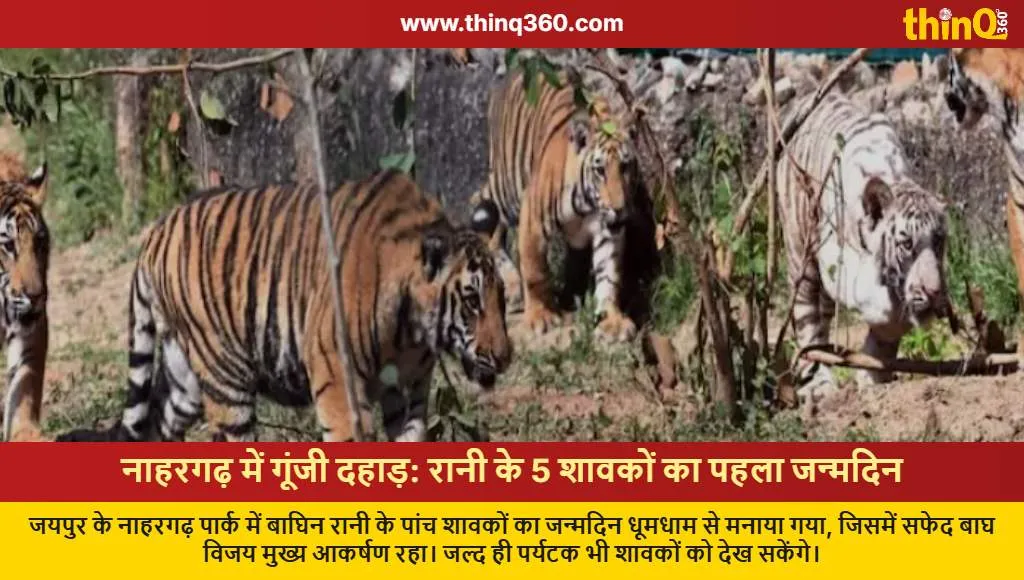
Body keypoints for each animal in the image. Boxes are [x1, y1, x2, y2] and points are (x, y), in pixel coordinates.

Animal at [56, 169, 512, 443]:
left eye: (501, 299)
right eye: (471, 301)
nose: (504, 357)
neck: (411, 332)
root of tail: (155, 233)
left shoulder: (410, 389)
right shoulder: (338, 378)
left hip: (184, 379)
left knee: (156, 425)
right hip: (225, 378)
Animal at [468, 69, 642, 342]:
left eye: (625, 166)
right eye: (600, 171)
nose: (619, 207)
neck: (589, 203)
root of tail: (507, 78)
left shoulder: (609, 229)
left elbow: (609, 273)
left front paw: (612, 321)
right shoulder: (532, 216)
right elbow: (535, 271)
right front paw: (542, 316)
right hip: (506, 188)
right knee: (480, 205)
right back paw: (513, 288)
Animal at [777, 92, 953, 406]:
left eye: (938, 241)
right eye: (907, 244)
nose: (933, 293)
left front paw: (873, 375)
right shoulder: (837, 261)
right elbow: (875, 300)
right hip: (802, 255)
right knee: (807, 316)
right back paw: (817, 383)